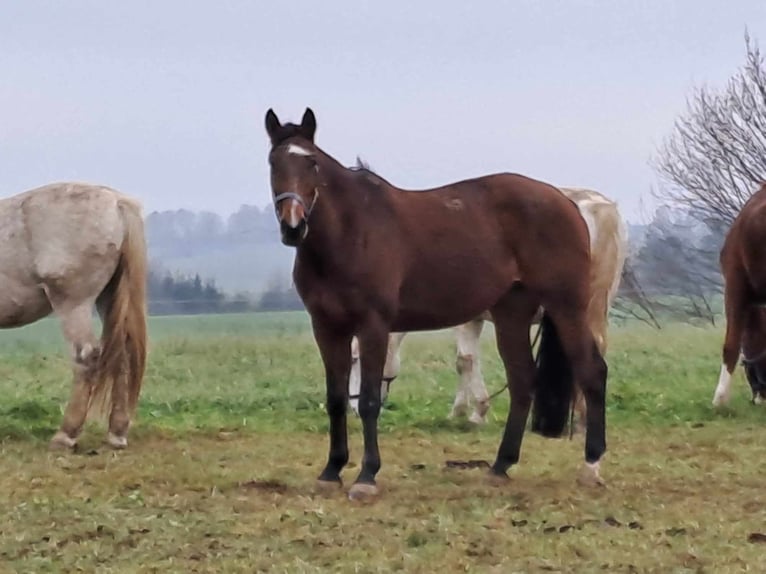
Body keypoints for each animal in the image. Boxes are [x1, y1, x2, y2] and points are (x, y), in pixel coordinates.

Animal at [0, 182, 149, 452]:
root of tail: (115, 202)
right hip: (110, 299)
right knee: (121, 356)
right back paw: (116, 432)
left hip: (73, 305)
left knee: (86, 358)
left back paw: (65, 435)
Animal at [350, 187, 632, 430]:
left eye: (355, 358)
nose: (354, 406)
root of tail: (599, 207)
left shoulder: (465, 319)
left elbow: (465, 360)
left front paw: (470, 412)